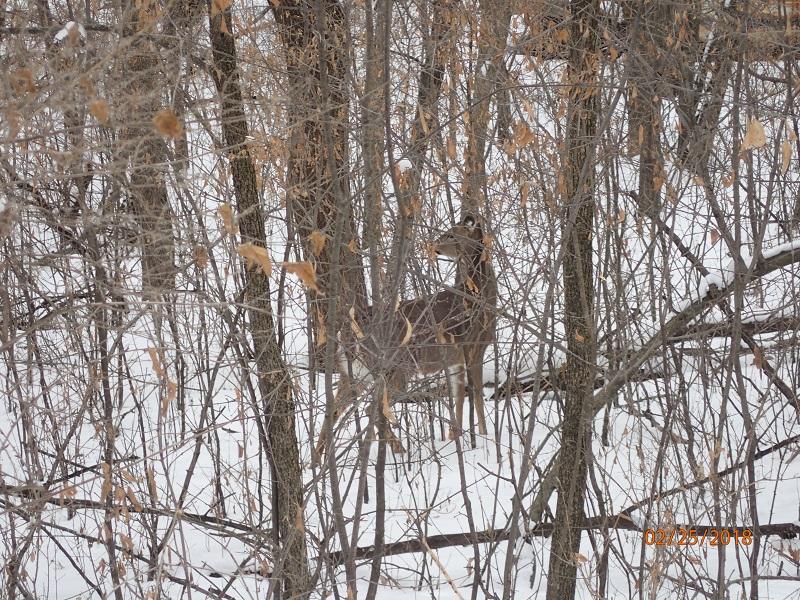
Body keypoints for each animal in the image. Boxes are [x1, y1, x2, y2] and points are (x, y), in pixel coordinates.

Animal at [314, 213, 497, 458]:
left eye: (451, 234)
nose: (433, 245)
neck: (478, 298)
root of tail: (348, 333)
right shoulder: (474, 346)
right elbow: (476, 394)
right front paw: (485, 438)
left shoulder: (455, 357)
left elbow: (458, 396)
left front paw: (455, 437)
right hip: (395, 368)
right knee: (371, 407)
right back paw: (399, 449)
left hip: (354, 373)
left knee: (333, 409)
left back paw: (316, 458)